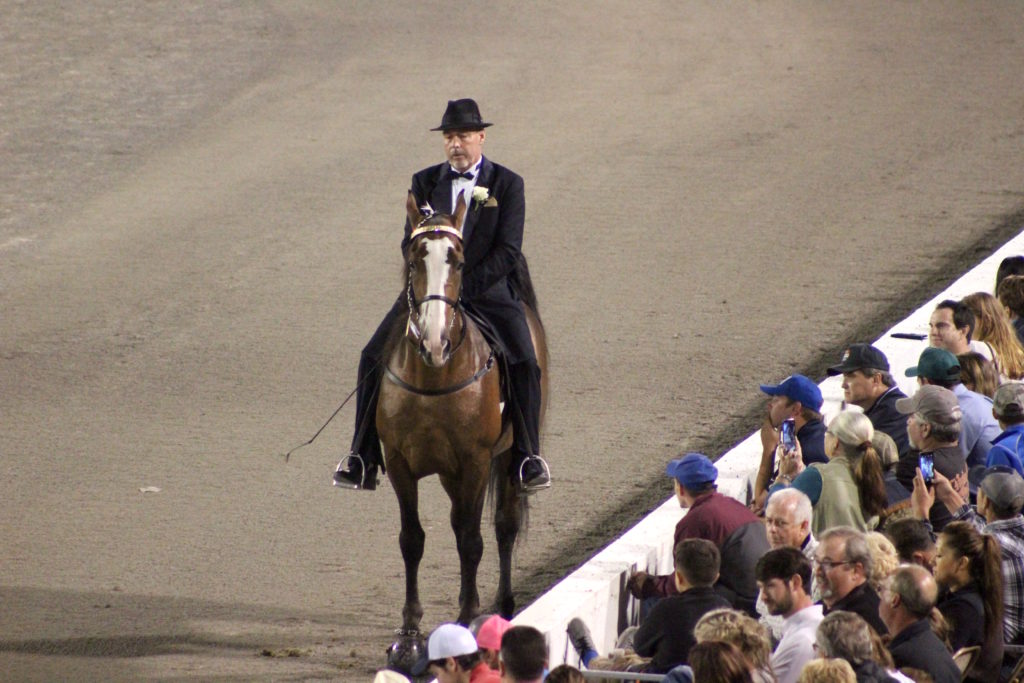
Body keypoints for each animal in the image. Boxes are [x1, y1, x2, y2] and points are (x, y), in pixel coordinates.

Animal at [380, 189, 548, 634]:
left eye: (457, 261)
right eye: (414, 258)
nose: (433, 341)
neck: (434, 377)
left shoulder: (476, 460)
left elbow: (472, 540)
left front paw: (470, 615)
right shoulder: (400, 461)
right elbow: (412, 539)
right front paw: (410, 625)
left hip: (507, 457)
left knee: (503, 525)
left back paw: (504, 605)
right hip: (448, 472)